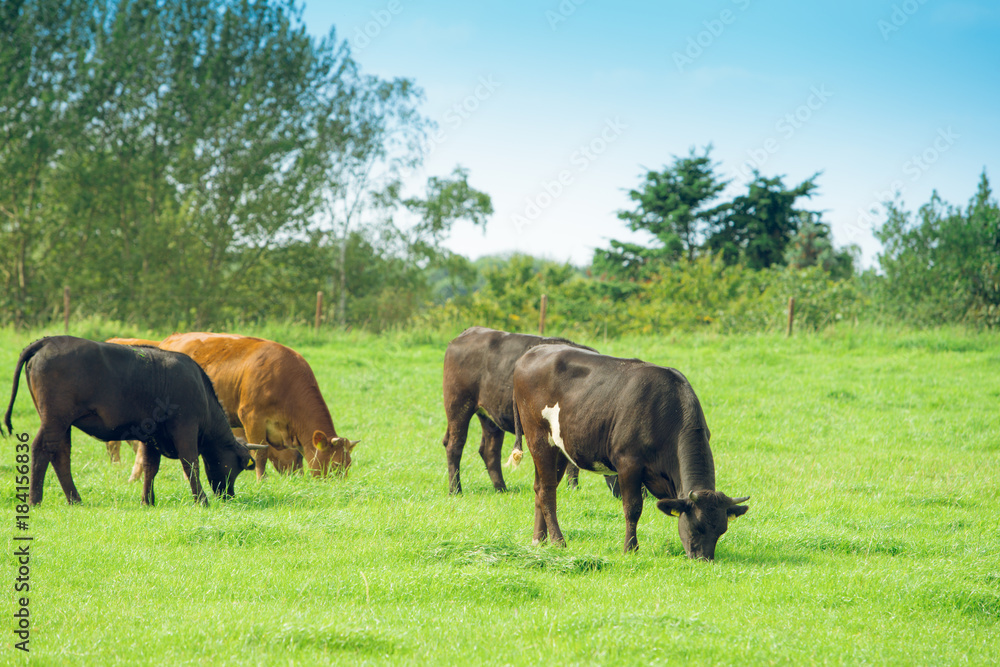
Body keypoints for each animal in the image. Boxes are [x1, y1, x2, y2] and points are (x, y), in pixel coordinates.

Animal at [2, 336, 266, 506]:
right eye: (239, 465)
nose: (228, 495)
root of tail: (48, 341)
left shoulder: (152, 436)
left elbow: (150, 468)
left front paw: (147, 501)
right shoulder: (185, 428)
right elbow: (190, 463)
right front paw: (201, 500)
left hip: (61, 423)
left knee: (60, 455)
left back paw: (74, 499)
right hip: (55, 419)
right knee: (41, 450)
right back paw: (35, 500)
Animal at [152, 332, 358, 479]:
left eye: (348, 465)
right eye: (335, 465)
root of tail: (171, 338)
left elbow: (295, 457)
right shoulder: (252, 418)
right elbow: (260, 453)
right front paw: (262, 480)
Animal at [442, 326, 618, 495]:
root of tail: (469, 332)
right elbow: (572, 465)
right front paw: (573, 488)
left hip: (490, 417)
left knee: (490, 451)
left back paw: (501, 488)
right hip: (458, 404)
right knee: (455, 445)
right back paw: (455, 490)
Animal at [511, 344, 749, 560]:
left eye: (721, 530)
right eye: (696, 526)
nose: (704, 558)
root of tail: (533, 351)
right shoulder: (628, 463)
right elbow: (633, 508)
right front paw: (630, 548)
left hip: (559, 448)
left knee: (539, 487)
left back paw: (539, 539)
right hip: (538, 438)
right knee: (547, 491)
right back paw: (558, 541)